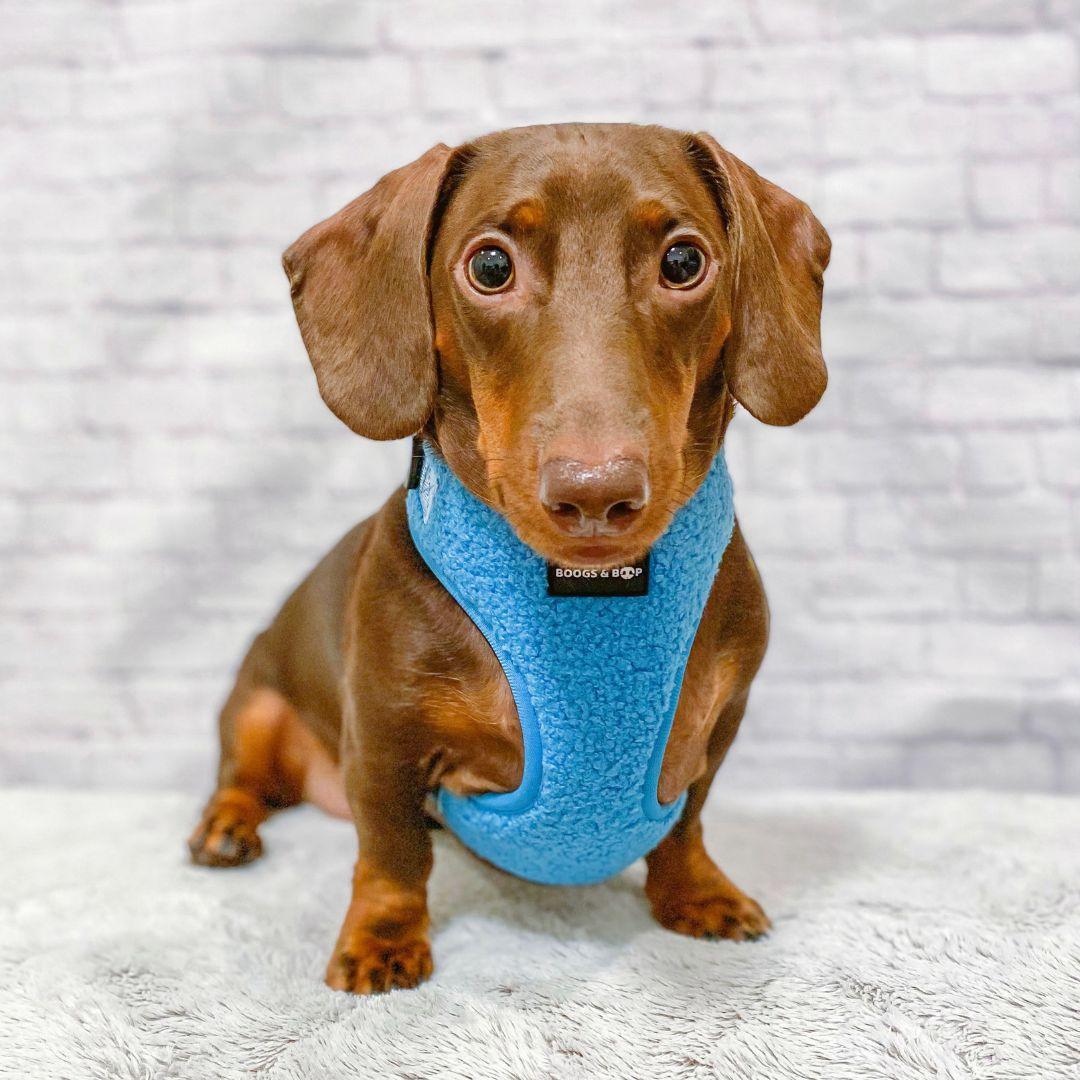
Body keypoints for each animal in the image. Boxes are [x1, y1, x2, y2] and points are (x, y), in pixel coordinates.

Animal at [187, 124, 825, 993]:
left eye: (684, 262)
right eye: (490, 266)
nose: (595, 494)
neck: (583, 599)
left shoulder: (721, 719)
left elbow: (685, 823)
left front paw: (697, 894)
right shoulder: (382, 738)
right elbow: (391, 851)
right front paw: (382, 940)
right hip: (254, 699)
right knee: (241, 776)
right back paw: (225, 827)